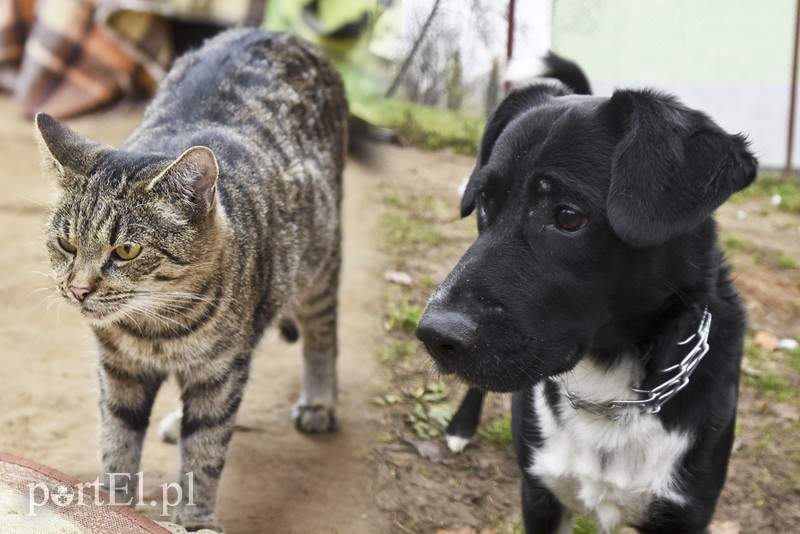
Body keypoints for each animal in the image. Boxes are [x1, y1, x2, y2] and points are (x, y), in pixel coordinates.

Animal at [36, 29, 346, 532]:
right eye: (67, 244)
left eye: (126, 251)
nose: (78, 290)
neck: (154, 328)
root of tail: (278, 32)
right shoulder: (118, 371)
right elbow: (117, 441)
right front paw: (109, 506)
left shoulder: (221, 371)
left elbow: (205, 451)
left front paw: (195, 518)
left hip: (319, 260)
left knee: (323, 332)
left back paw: (319, 401)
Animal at [416, 81, 760, 532]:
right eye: (486, 200)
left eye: (568, 216)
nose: (432, 336)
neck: (608, 386)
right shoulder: (540, 493)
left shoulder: (685, 513)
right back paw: (461, 427)